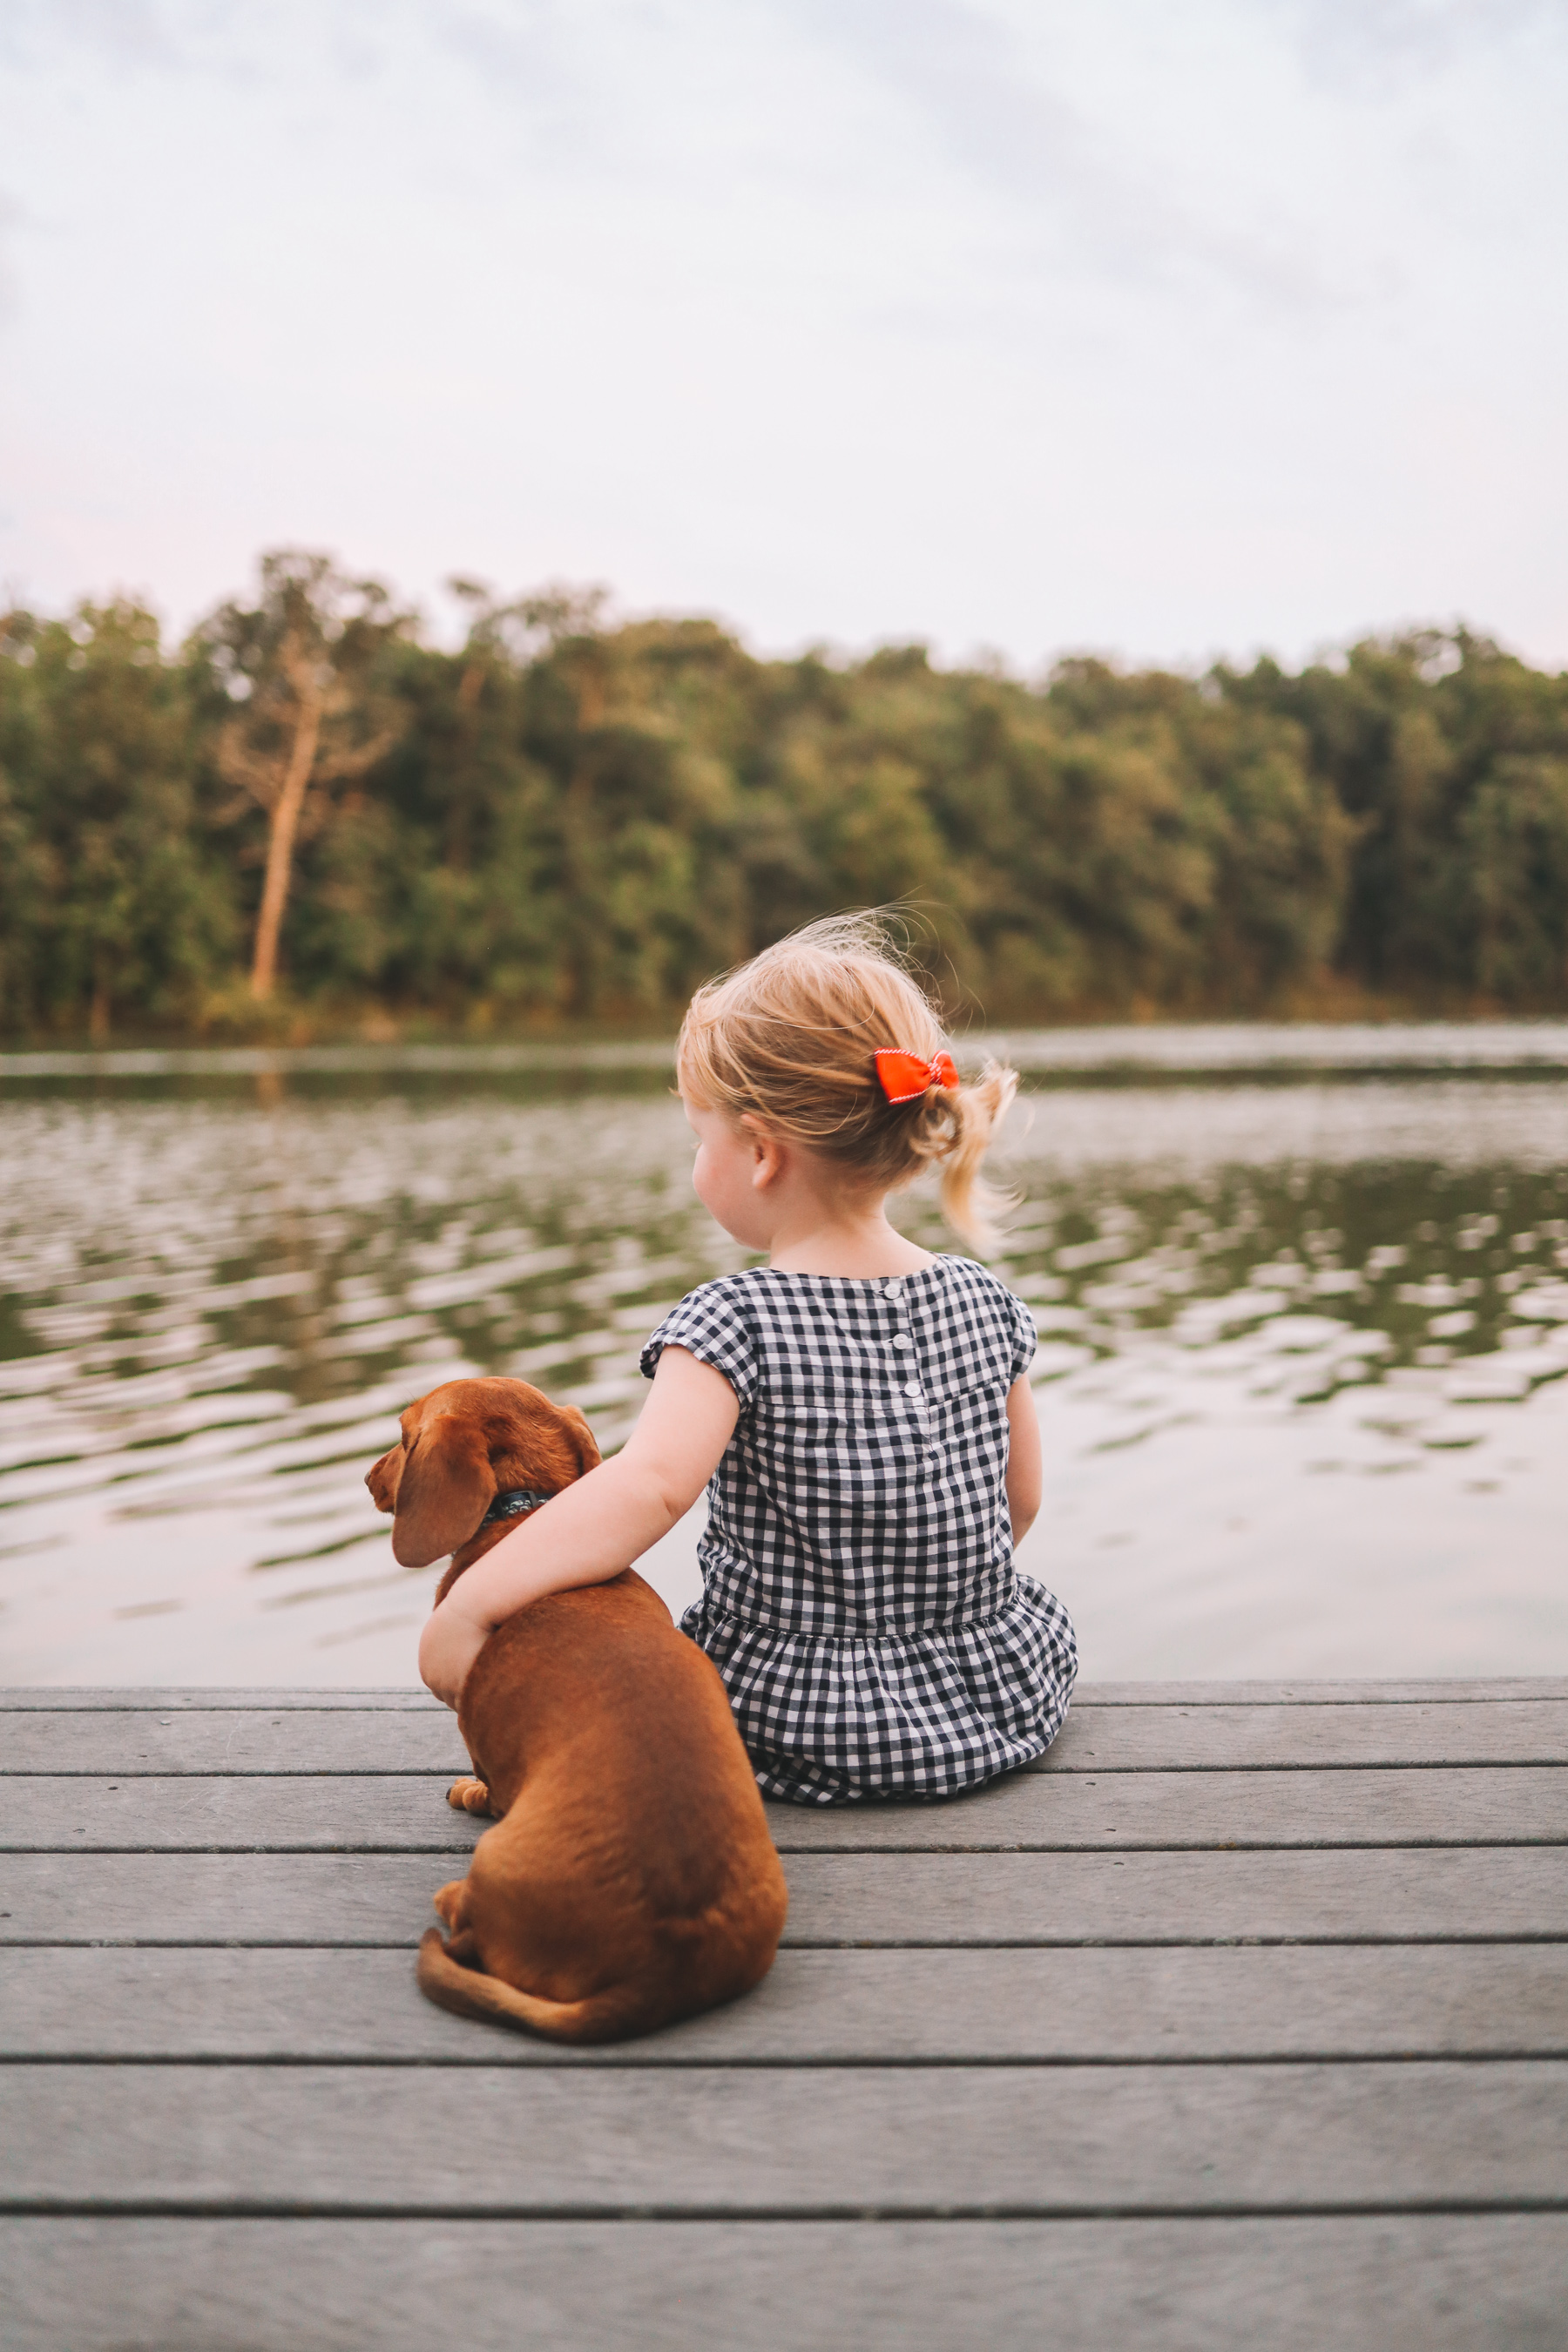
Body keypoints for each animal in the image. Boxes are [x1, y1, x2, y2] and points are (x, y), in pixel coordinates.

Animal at [364, 1373, 785, 2041]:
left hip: (491, 1860)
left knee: (468, 1925)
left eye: (405, 1437)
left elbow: (485, 1785)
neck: (521, 1515)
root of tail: (655, 1975)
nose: (367, 1478)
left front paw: (468, 1792)